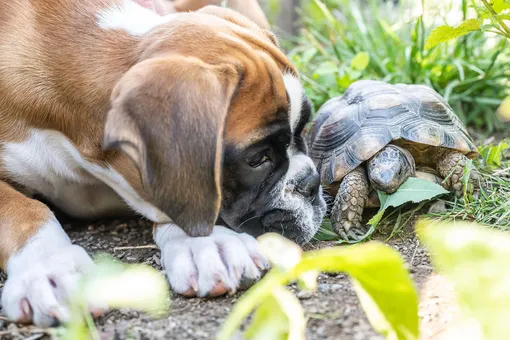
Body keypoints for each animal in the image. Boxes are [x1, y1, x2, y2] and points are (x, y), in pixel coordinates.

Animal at [0, 0, 326, 326]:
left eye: (303, 129)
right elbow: (21, 208)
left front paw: (205, 245)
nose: (311, 183)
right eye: (257, 160)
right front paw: (50, 266)